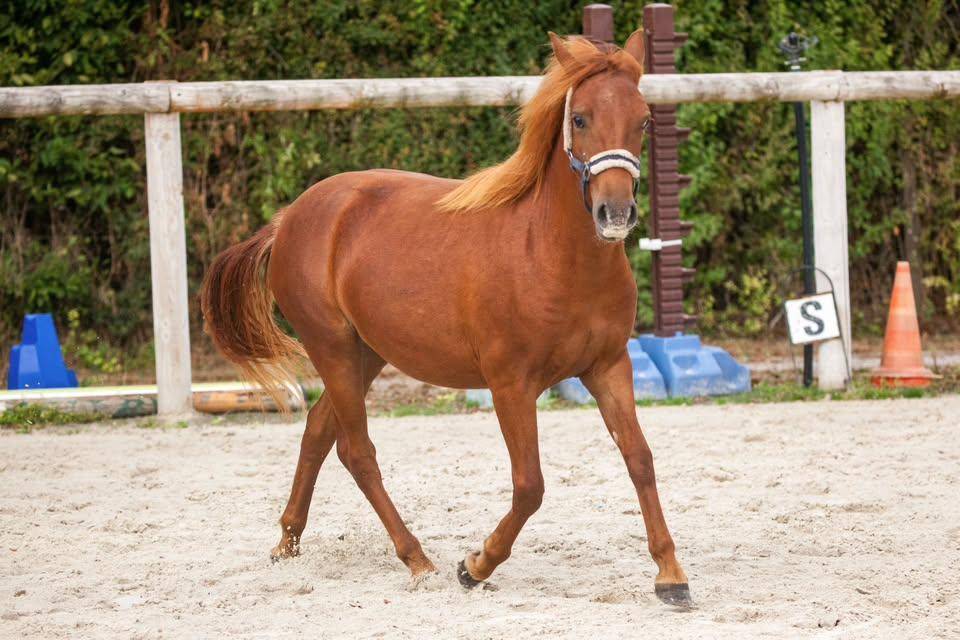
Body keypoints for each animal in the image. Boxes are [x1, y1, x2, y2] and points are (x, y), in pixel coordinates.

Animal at [200, 30, 691, 606]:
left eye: (645, 121)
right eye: (580, 118)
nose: (614, 214)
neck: (554, 256)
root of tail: (289, 217)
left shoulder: (609, 368)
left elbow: (640, 460)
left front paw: (671, 576)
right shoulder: (511, 385)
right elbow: (530, 486)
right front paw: (475, 565)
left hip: (367, 354)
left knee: (320, 433)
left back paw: (288, 542)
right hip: (333, 347)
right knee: (357, 450)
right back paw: (417, 559)